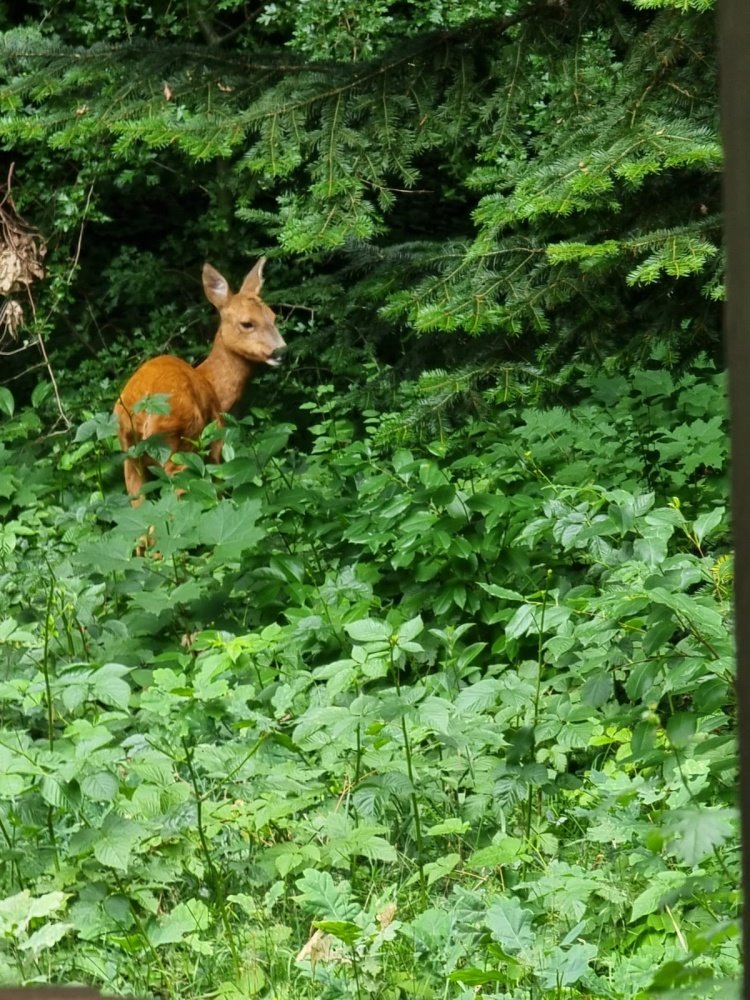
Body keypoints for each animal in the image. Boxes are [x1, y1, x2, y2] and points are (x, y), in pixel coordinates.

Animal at [114, 258, 284, 500]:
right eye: (247, 323)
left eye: (273, 317)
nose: (281, 351)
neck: (212, 383)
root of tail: (143, 409)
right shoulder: (216, 439)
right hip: (179, 443)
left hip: (129, 453)